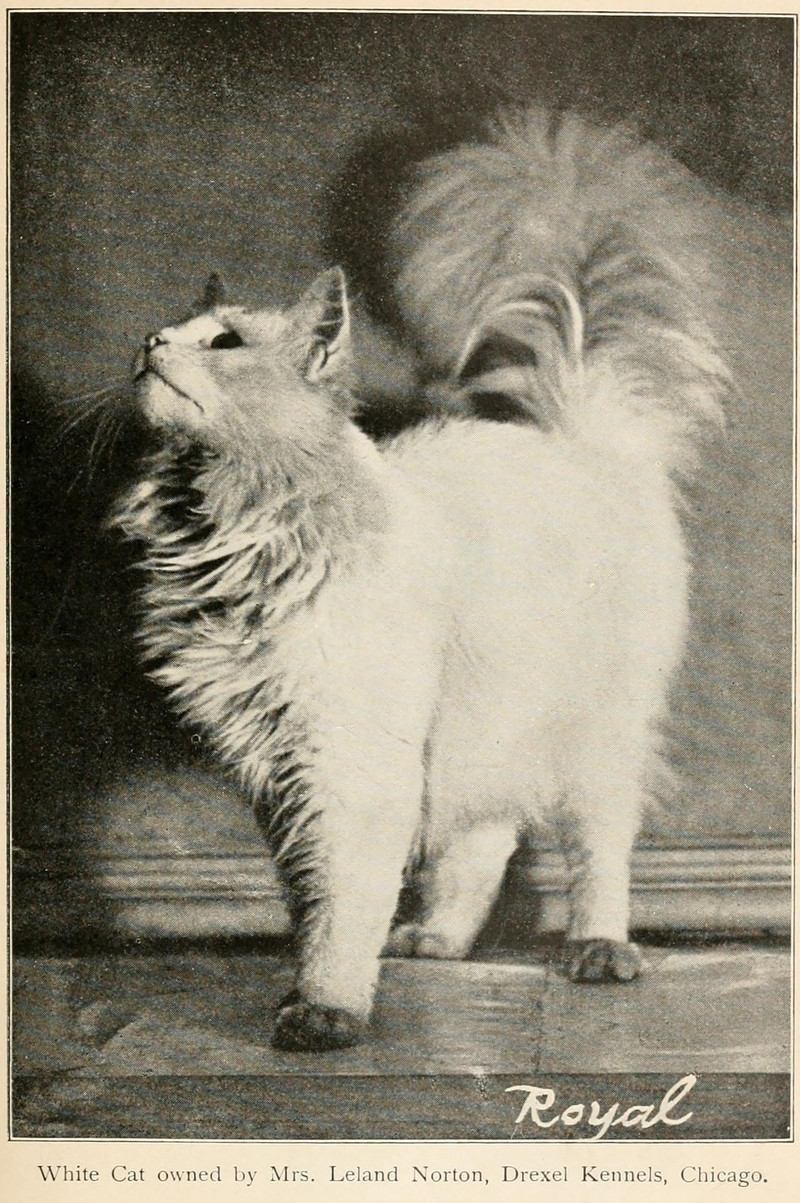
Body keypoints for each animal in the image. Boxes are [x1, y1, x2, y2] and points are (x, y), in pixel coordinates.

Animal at [112, 107, 727, 1051]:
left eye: (224, 344)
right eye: (170, 331)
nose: (147, 344)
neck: (230, 529)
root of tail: (582, 435)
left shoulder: (347, 755)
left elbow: (343, 896)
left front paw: (326, 1006)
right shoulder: (278, 764)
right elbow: (309, 894)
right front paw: (312, 984)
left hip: (598, 726)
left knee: (598, 843)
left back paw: (598, 948)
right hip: (490, 713)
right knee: (487, 833)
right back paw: (438, 938)